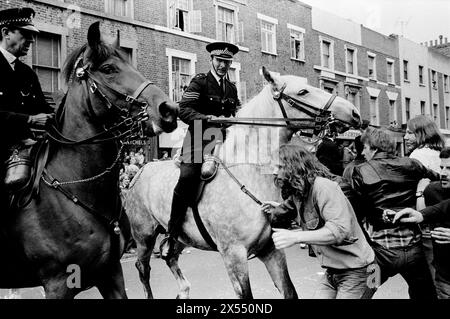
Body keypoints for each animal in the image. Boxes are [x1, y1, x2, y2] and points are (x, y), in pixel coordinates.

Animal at [124, 68, 362, 300]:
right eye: (303, 91)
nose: (354, 112)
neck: (250, 172)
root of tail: (141, 171)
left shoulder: (271, 248)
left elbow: (289, 291)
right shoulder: (234, 254)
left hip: (179, 236)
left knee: (171, 257)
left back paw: (183, 290)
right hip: (143, 236)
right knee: (143, 269)